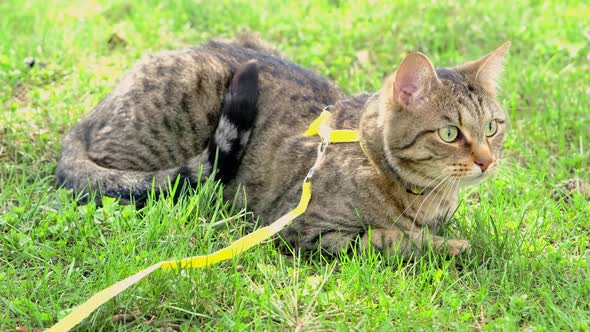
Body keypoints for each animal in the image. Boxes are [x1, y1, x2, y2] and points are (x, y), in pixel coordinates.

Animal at [61, 37, 512, 260]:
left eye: (492, 128)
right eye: (450, 134)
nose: (487, 162)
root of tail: (85, 120)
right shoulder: (303, 228)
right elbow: (388, 238)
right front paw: (449, 247)